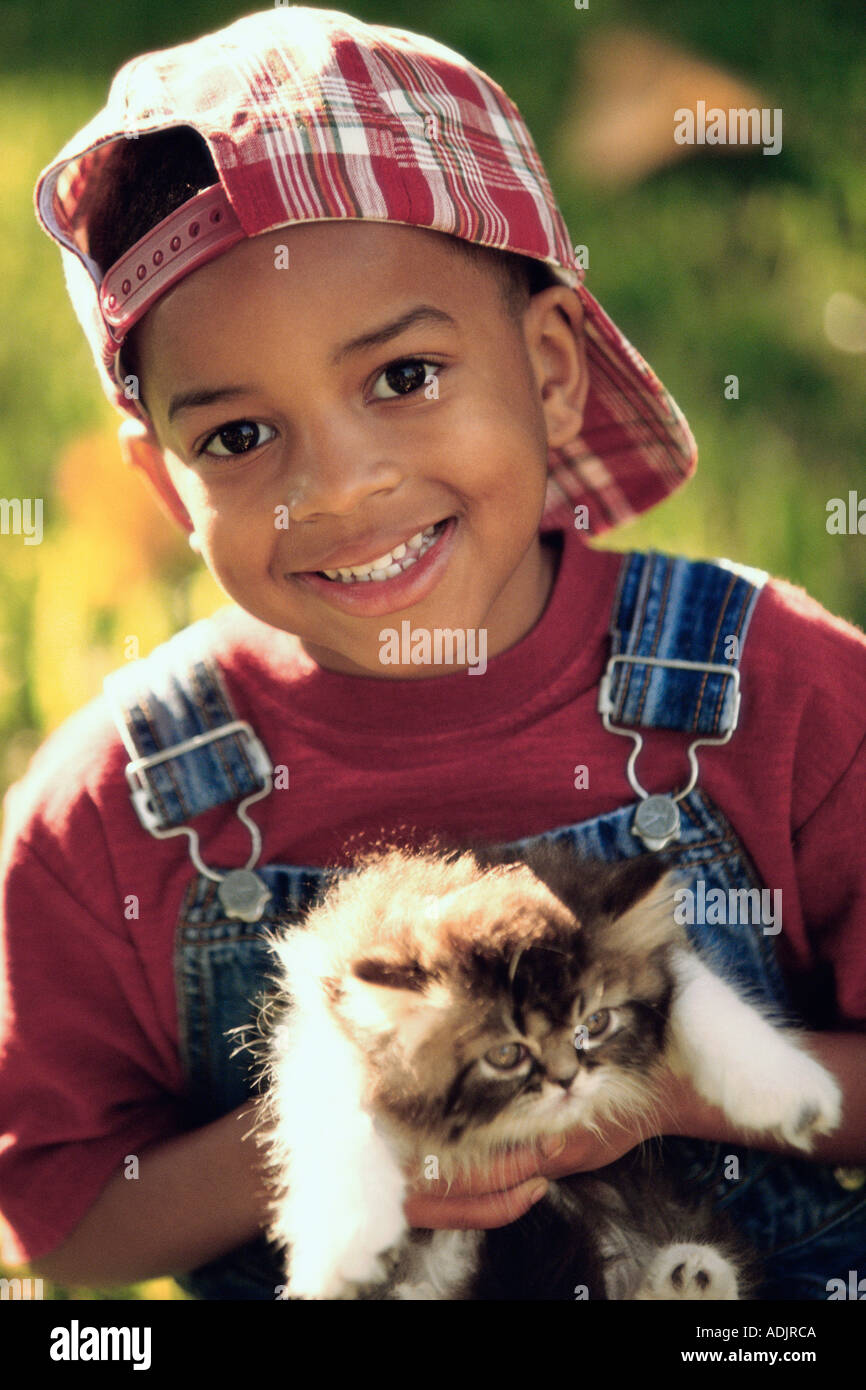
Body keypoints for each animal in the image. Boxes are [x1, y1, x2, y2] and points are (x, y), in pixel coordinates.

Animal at [257, 834, 839, 1301]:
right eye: (505, 1054)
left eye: (596, 1023)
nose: (567, 1079)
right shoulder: (319, 1024)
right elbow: (335, 1109)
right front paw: (344, 1245)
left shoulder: (664, 961)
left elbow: (695, 989)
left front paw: (787, 1087)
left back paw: (692, 1277)